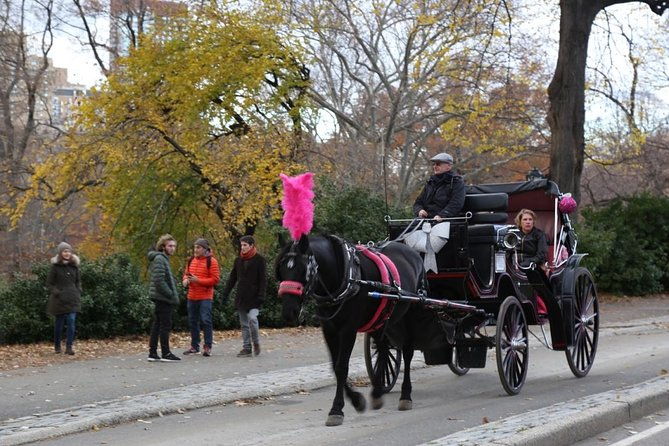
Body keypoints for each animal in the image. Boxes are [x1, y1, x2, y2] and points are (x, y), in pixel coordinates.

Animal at [276, 233, 426, 426]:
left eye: (303, 269)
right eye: (282, 269)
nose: (289, 311)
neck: (345, 277)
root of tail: (412, 252)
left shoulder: (348, 329)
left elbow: (342, 367)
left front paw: (337, 409)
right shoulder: (329, 329)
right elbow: (335, 366)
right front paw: (356, 400)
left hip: (411, 312)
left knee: (407, 352)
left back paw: (405, 395)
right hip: (382, 318)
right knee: (383, 349)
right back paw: (378, 391)